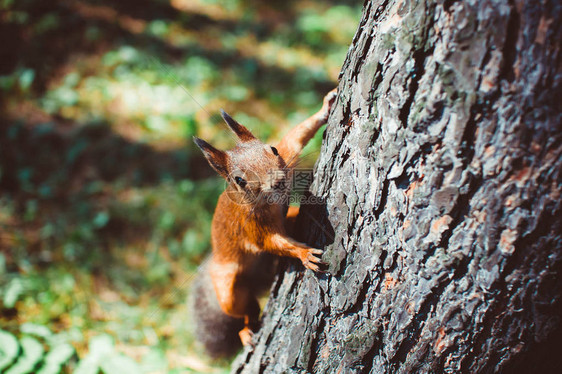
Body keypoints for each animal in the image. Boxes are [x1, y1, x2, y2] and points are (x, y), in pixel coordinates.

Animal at [190, 88, 334, 356]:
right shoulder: (251, 225)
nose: (277, 181)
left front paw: (325, 107)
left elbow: (296, 137)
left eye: (273, 149)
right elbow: (272, 242)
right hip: (229, 288)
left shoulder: (287, 155)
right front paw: (304, 253)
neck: (269, 201)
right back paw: (245, 331)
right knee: (245, 309)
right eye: (239, 180)